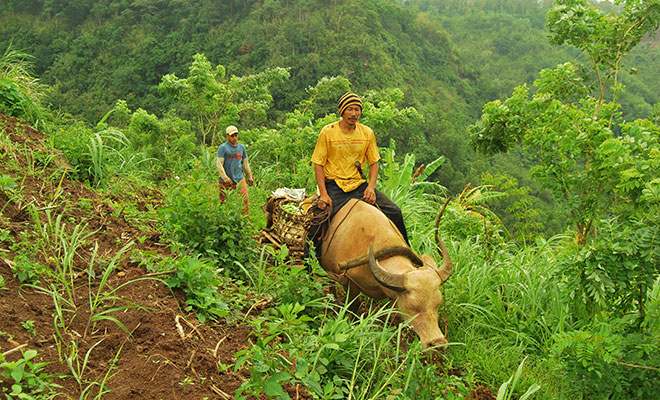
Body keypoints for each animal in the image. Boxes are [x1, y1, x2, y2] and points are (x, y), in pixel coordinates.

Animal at [318, 198, 452, 348]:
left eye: (438, 304)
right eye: (413, 306)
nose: (438, 342)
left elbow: (394, 317)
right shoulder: (351, 282)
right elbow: (353, 305)